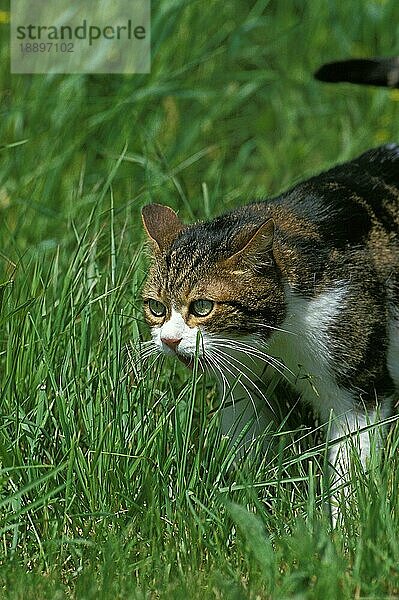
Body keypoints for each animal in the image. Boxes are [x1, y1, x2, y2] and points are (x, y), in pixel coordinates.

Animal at [141, 142, 399, 506]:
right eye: (157, 307)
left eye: (203, 307)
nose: (169, 340)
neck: (274, 339)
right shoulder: (240, 387)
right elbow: (243, 448)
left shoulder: (358, 388)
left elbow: (350, 470)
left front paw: (344, 520)